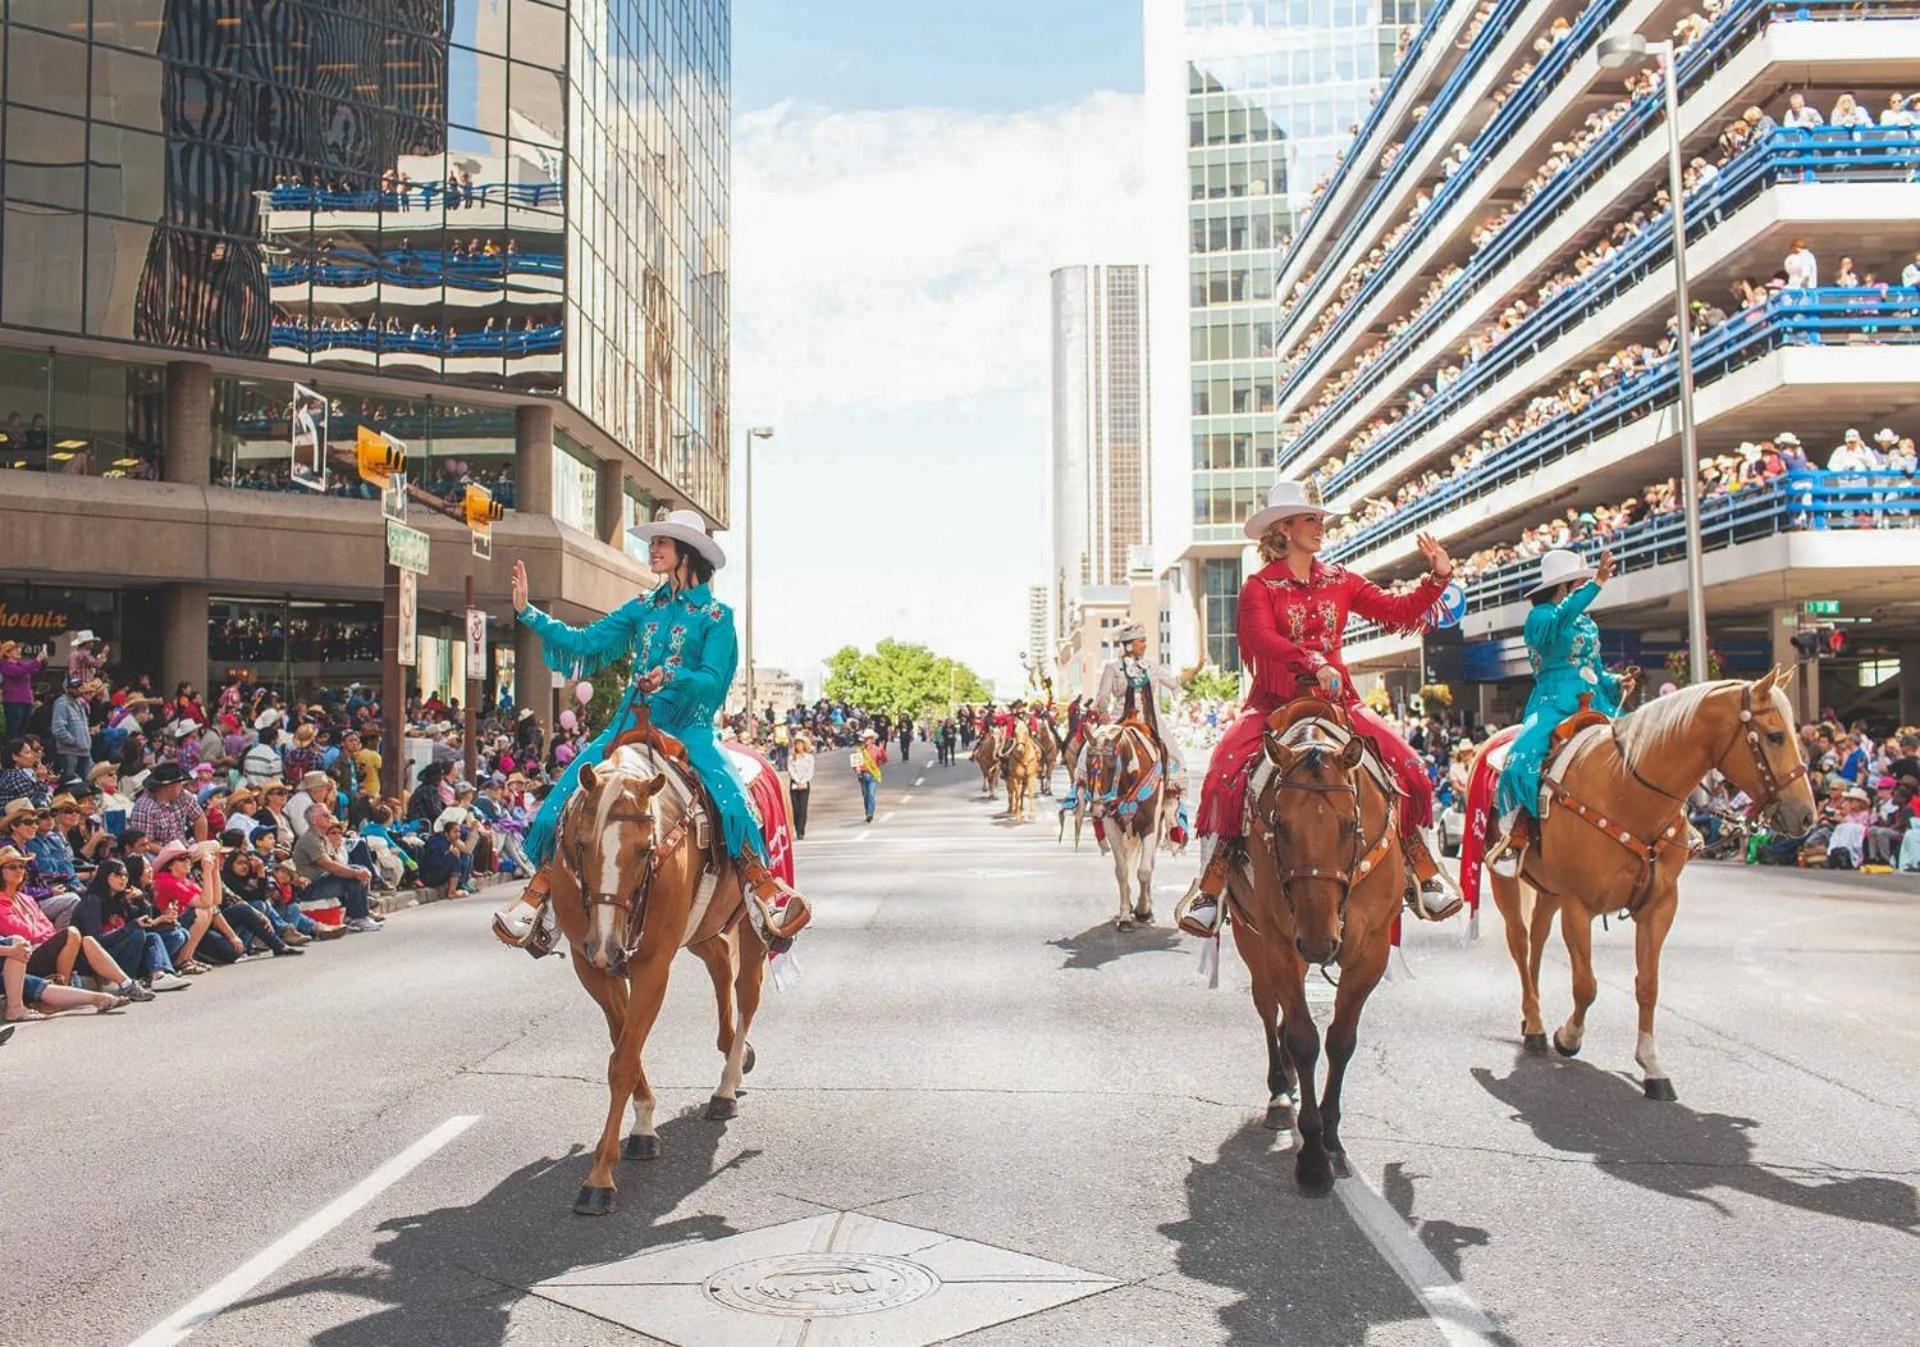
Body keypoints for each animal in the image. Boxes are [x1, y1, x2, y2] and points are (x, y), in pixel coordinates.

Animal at [545, 732, 768, 1220]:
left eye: (645, 850)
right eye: (581, 844)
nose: (606, 944)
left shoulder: (652, 964)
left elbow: (623, 1060)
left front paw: (599, 1179)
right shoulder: (590, 966)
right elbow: (623, 1044)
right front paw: (644, 1126)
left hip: (751, 920)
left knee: (747, 991)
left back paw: (726, 1086)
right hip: (703, 927)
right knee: (719, 961)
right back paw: (733, 1053)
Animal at [1082, 721, 1167, 932]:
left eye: (1112, 765)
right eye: (1087, 764)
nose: (1097, 809)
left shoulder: (1150, 825)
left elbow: (1144, 871)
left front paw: (1143, 910)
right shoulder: (1112, 826)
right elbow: (1122, 871)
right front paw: (1125, 916)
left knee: (1150, 864)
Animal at [1221, 702, 1405, 1197]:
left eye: (1349, 825)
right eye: (1280, 826)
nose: (1321, 942)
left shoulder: (1371, 951)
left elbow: (1341, 1040)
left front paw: (1333, 1134)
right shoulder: (1281, 945)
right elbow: (1304, 1040)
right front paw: (1312, 1158)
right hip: (1253, 940)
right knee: (1269, 1009)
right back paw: (1280, 1090)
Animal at [1466, 671, 1812, 1105]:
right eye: (1774, 736)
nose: (1806, 815)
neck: (1626, 791)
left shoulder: (1659, 906)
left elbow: (1648, 986)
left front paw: (1651, 1066)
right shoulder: (1579, 905)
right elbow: (1586, 986)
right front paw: (1568, 1037)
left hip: (1549, 889)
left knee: (1538, 938)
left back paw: (1533, 1017)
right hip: (1504, 880)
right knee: (1519, 941)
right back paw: (1537, 1025)